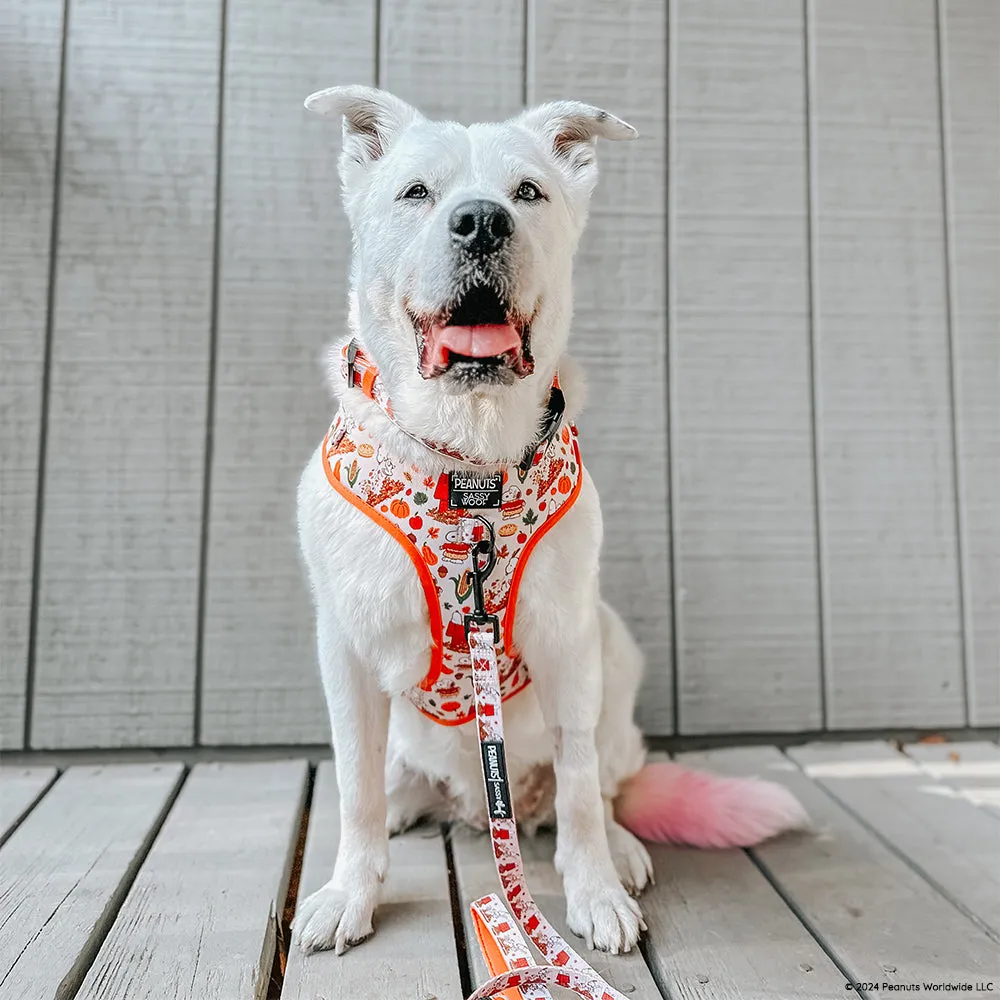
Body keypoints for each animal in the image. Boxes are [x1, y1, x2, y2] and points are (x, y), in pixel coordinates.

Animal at [292, 88, 804, 960]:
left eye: (527, 192)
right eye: (415, 192)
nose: (481, 222)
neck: (468, 455)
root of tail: (474, 801)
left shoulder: (569, 637)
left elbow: (580, 793)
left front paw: (594, 889)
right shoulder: (346, 646)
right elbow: (356, 788)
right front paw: (351, 890)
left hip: (614, 648)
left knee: (597, 785)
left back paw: (617, 846)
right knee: (399, 783)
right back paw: (408, 802)